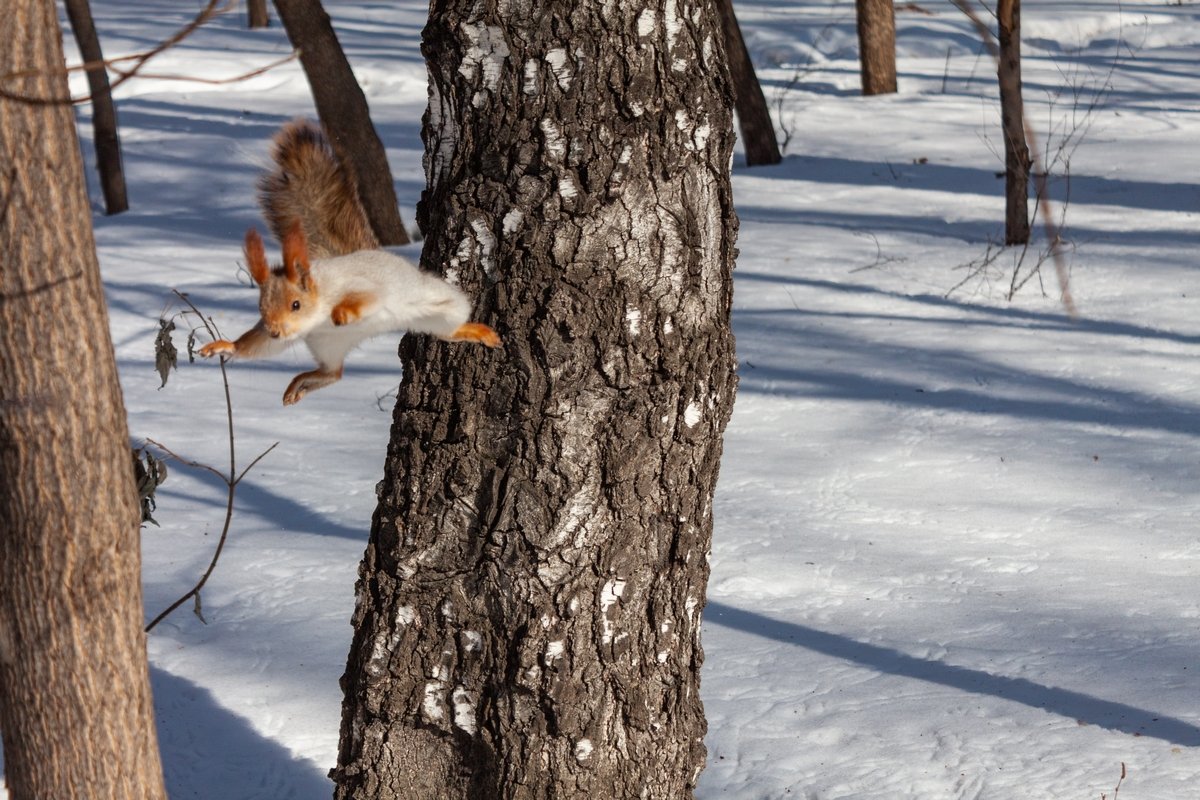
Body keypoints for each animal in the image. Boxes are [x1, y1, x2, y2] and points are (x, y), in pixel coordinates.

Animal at [199, 120, 499, 407]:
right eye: (261, 307)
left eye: (296, 304)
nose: (273, 331)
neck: (318, 306)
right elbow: (259, 346)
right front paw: (226, 346)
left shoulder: (356, 286)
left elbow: (367, 297)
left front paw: (341, 313)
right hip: (328, 344)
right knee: (333, 373)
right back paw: (297, 385)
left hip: (436, 304)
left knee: (450, 327)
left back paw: (474, 330)